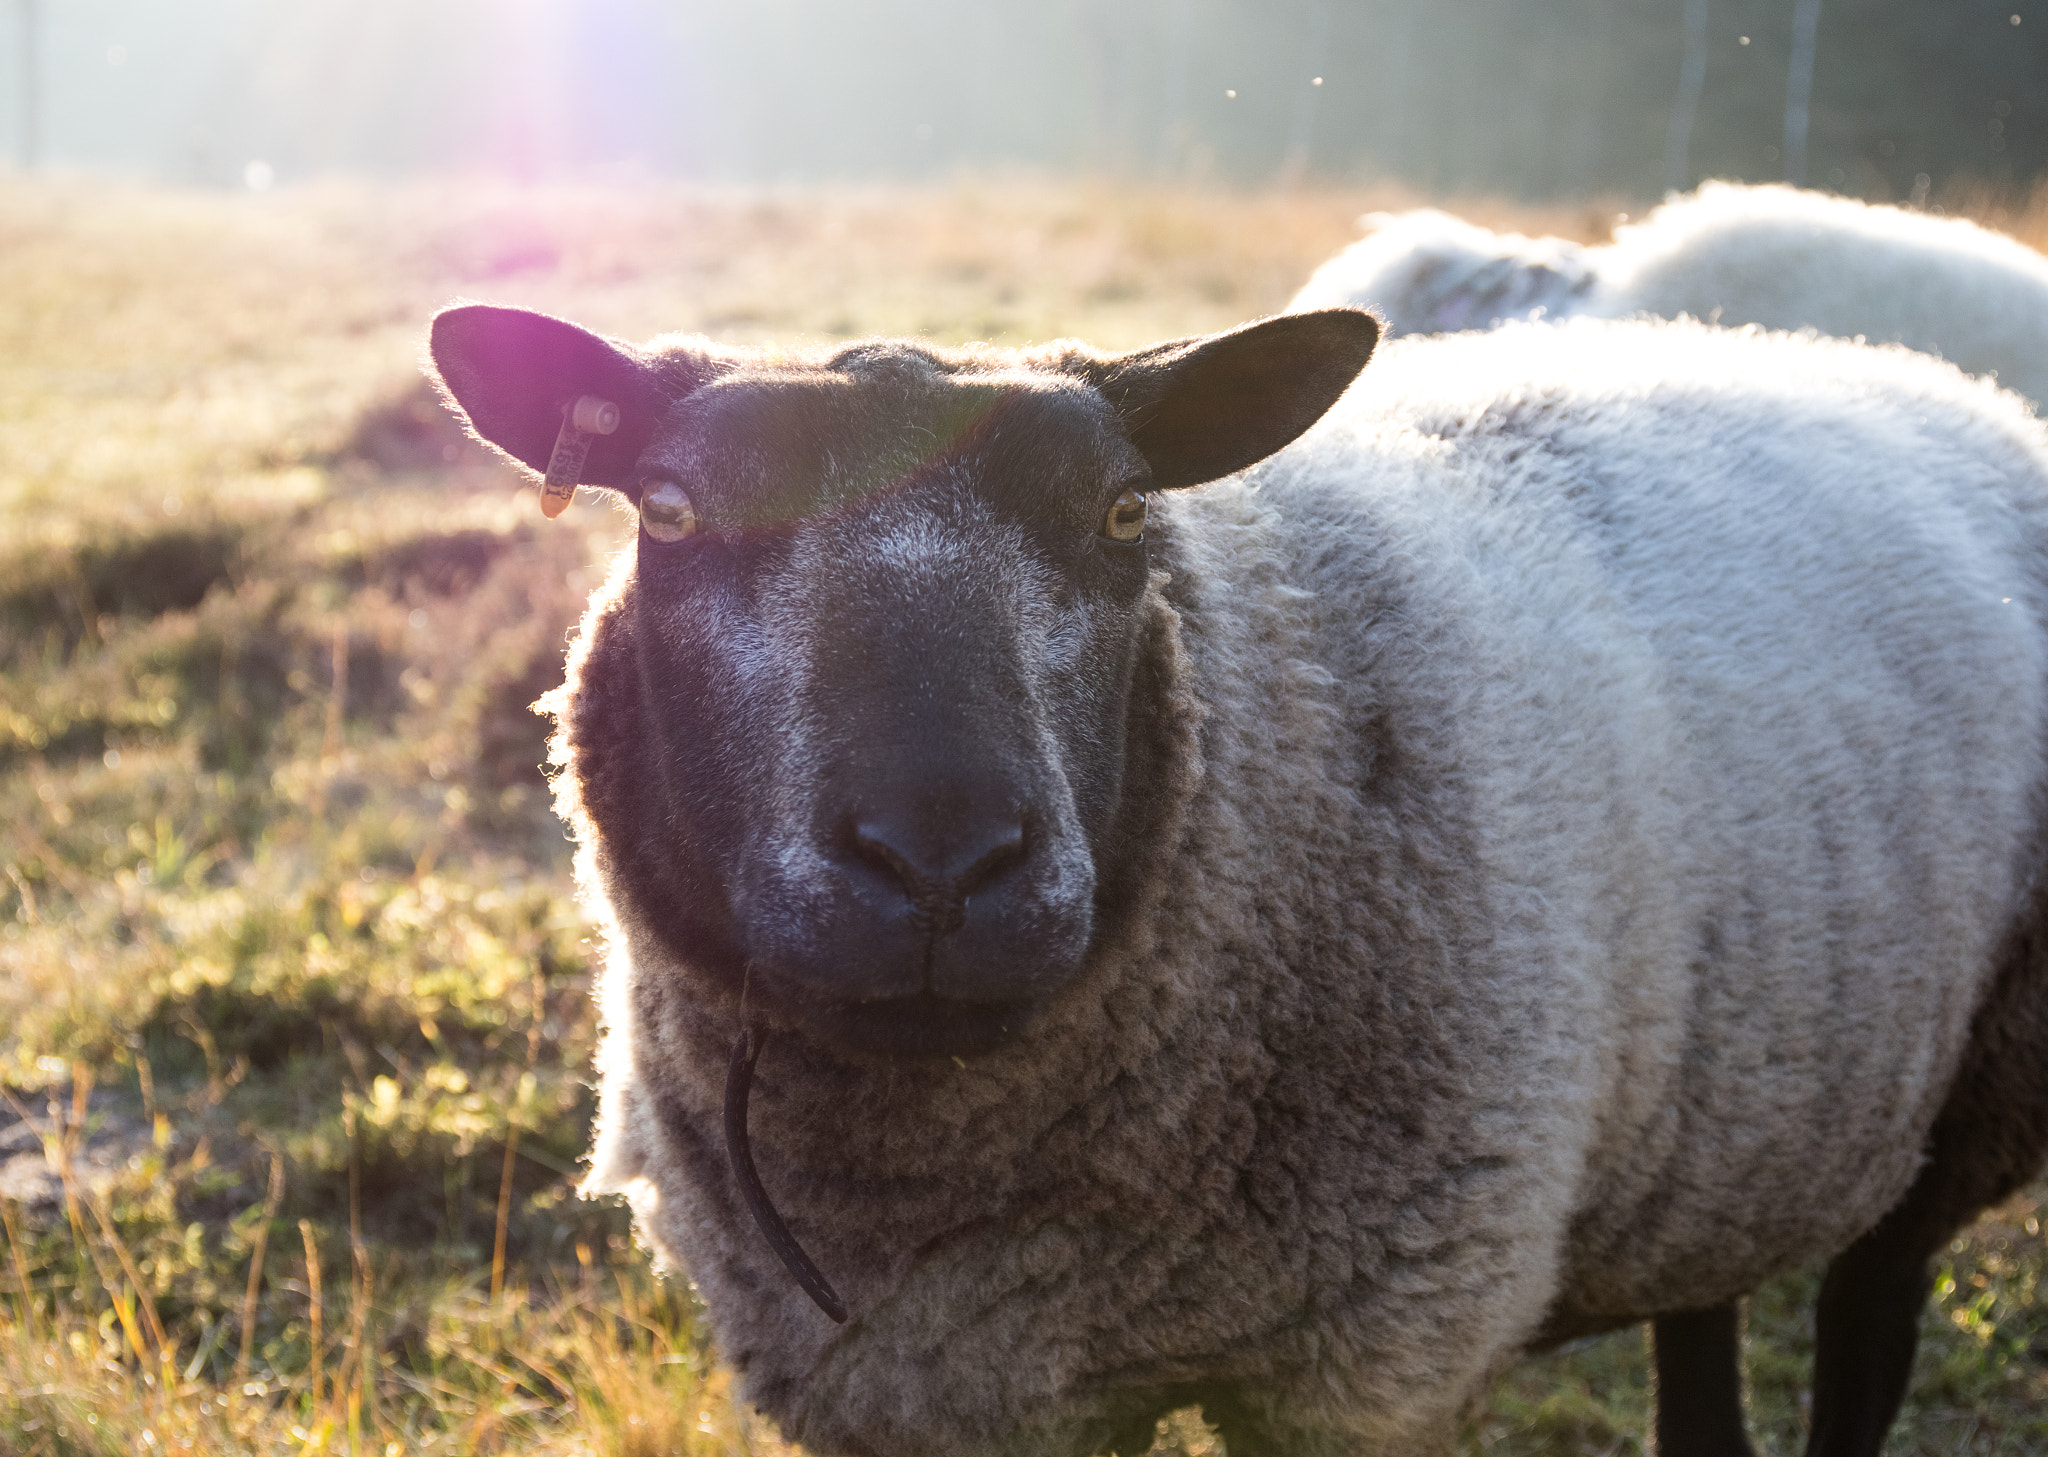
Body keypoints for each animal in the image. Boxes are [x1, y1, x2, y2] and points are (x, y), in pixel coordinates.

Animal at [426, 300, 2048, 1457]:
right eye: (671, 514)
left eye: (1124, 514)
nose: (943, 860)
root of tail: (1920, 375)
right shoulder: (941, 1390)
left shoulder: (1360, 1362)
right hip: (1729, 1126)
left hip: (1961, 1102)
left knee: (1869, 1317)